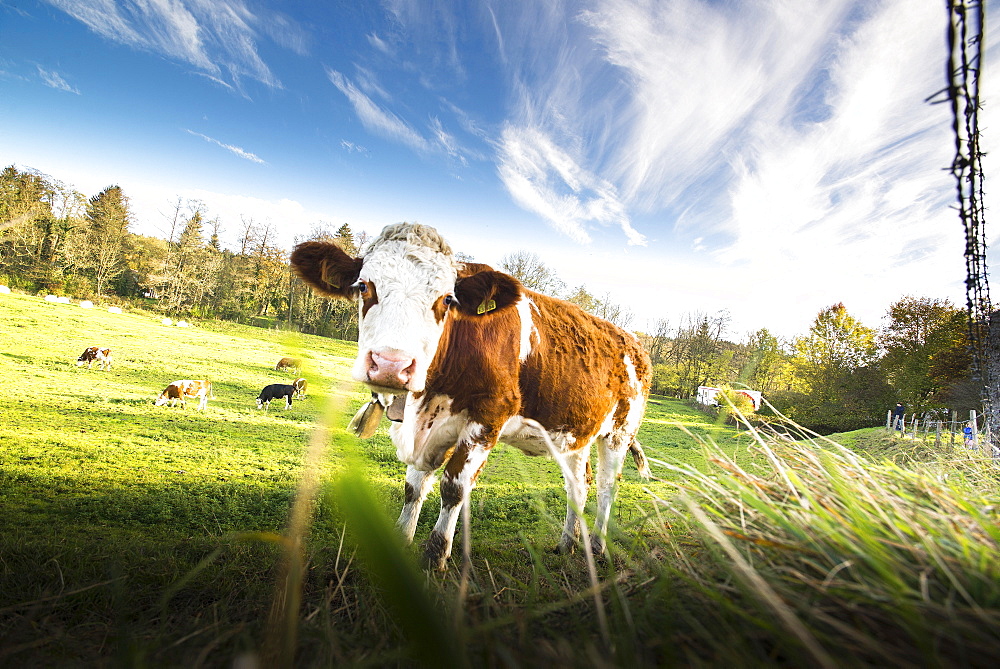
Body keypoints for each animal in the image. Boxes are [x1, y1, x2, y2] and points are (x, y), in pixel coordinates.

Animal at [292, 222, 648, 568]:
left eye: (448, 299)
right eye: (364, 286)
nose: (391, 365)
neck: (427, 397)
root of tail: (634, 340)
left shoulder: (489, 416)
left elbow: (454, 487)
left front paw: (436, 556)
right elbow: (413, 486)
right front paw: (402, 539)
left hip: (619, 432)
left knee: (606, 486)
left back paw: (598, 545)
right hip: (575, 434)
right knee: (579, 483)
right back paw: (568, 544)